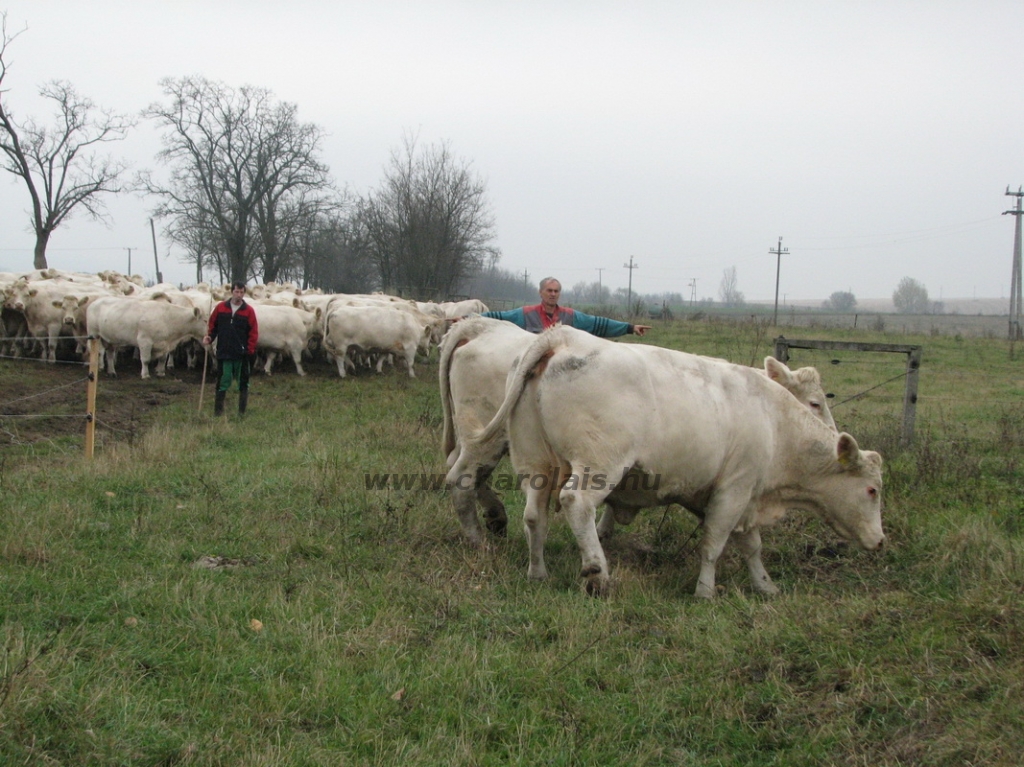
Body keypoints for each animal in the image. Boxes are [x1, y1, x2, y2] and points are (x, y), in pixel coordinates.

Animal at [440, 315, 839, 544]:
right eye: (815, 403)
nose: (837, 442)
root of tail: (479, 326)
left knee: (465, 473)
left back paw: (495, 519)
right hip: (488, 438)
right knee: (460, 479)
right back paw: (478, 538)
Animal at [475, 323, 884, 598]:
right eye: (872, 490)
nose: (880, 542)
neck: (774, 421)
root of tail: (563, 337)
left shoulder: (742, 497)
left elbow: (751, 546)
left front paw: (765, 586)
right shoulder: (733, 490)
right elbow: (714, 545)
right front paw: (706, 591)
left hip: (536, 464)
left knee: (535, 515)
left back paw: (538, 572)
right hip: (598, 466)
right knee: (577, 504)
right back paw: (598, 574)